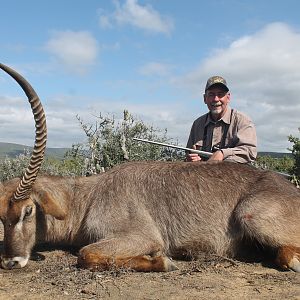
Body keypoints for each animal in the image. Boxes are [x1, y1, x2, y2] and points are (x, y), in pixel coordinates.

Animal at [0, 63, 300, 272]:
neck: (87, 198)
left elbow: (86, 254)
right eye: (2, 217)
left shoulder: (143, 236)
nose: (10, 262)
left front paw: (162, 262)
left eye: (28, 210)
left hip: (251, 215)